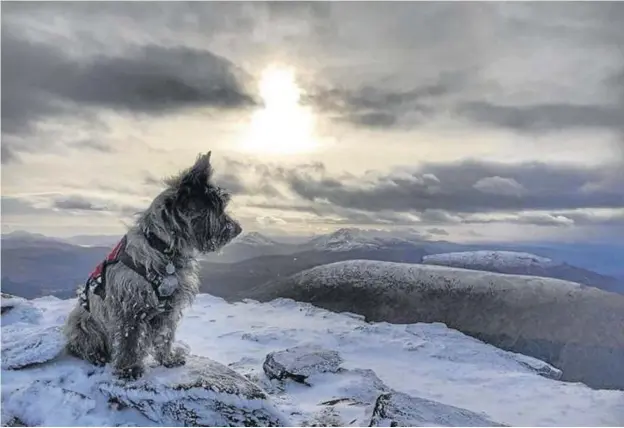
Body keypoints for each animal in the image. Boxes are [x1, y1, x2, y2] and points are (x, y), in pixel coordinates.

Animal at [64, 152, 241, 380]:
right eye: (214, 207)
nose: (237, 228)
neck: (164, 248)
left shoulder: (169, 308)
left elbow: (165, 336)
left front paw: (168, 359)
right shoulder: (129, 307)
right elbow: (129, 341)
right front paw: (129, 369)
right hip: (82, 323)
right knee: (81, 345)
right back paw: (96, 355)